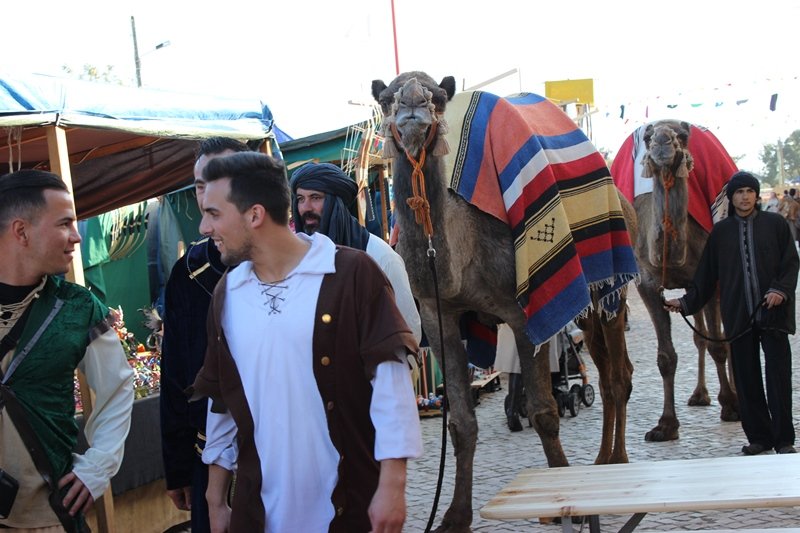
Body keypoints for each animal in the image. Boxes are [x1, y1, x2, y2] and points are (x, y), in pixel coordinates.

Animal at [372, 71, 640, 532]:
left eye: (437, 98)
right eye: (388, 98)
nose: (412, 107)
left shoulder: (522, 313)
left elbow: (545, 412)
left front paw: (562, 502)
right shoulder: (439, 316)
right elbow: (461, 423)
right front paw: (454, 516)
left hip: (614, 286)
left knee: (618, 374)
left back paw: (615, 463)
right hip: (586, 307)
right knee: (606, 372)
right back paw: (602, 463)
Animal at [612, 120, 736, 440]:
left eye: (682, 135)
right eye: (647, 137)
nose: (662, 143)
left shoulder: (709, 281)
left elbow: (719, 346)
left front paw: (732, 407)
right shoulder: (646, 284)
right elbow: (666, 357)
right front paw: (666, 425)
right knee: (700, 336)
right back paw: (699, 395)